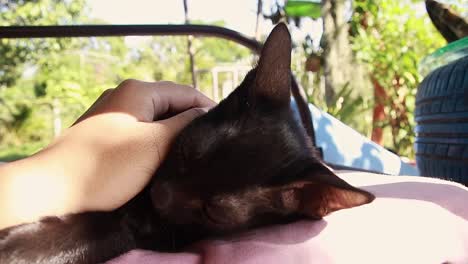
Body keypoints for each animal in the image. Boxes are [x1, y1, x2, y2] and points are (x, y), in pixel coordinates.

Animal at [0, 23, 372, 262]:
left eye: (213, 211)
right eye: (184, 151)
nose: (160, 195)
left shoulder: (157, 233)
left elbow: (101, 231)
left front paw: (21, 248)